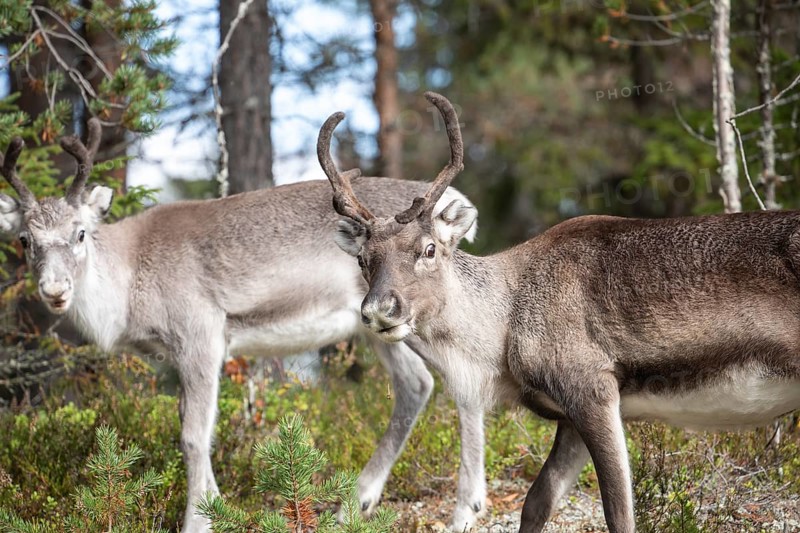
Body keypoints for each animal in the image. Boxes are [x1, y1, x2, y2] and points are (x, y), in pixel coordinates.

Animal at [0, 120, 488, 532]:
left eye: (80, 233)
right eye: (24, 239)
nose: (54, 290)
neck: (129, 279)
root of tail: (456, 208)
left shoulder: (200, 335)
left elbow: (194, 435)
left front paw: (198, 521)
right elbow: (195, 426)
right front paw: (216, 505)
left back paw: (464, 510)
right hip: (377, 328)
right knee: (416, 384)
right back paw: (355, 503)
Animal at [318, 91, 800, 533]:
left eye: (429, 248)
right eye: (363, 259)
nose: (379, 310)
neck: (504, 329)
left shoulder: (591, 388)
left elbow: (619, 514)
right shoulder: (570, 416)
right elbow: (536, 502)